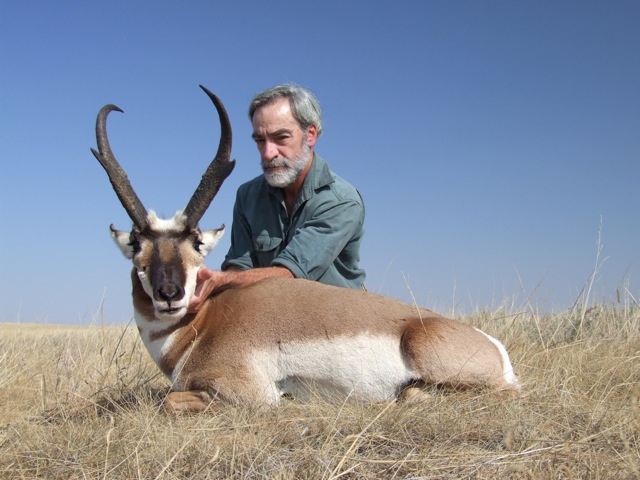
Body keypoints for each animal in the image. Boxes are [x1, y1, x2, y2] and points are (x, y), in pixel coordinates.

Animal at [91, 85, 520, 412]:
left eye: (196, 243)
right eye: (137, 245)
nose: (170, 294)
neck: (206, 321)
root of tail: (493, 346)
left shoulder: (247, 395)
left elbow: (167, 399)